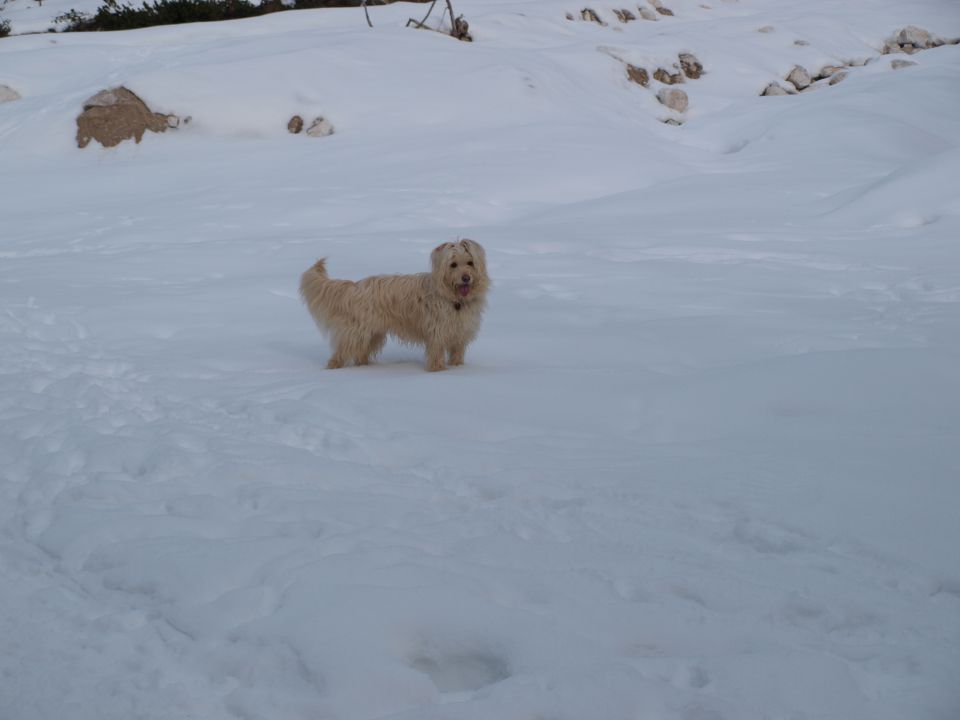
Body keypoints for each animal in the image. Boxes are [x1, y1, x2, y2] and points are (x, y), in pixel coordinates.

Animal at [300, 239, 492, 372]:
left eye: (470, 263)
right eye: (453, 265)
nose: (466, 278)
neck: (454, 299)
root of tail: (355, 286)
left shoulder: (459, 335)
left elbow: (457, 354)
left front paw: (458, 368)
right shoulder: (437, 333)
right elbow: (436, 353)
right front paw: (439, 371)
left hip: (373, 334)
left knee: (360, 353)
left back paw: (365, 367)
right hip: (357, 332)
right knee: (341, 352)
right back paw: (333, 370)